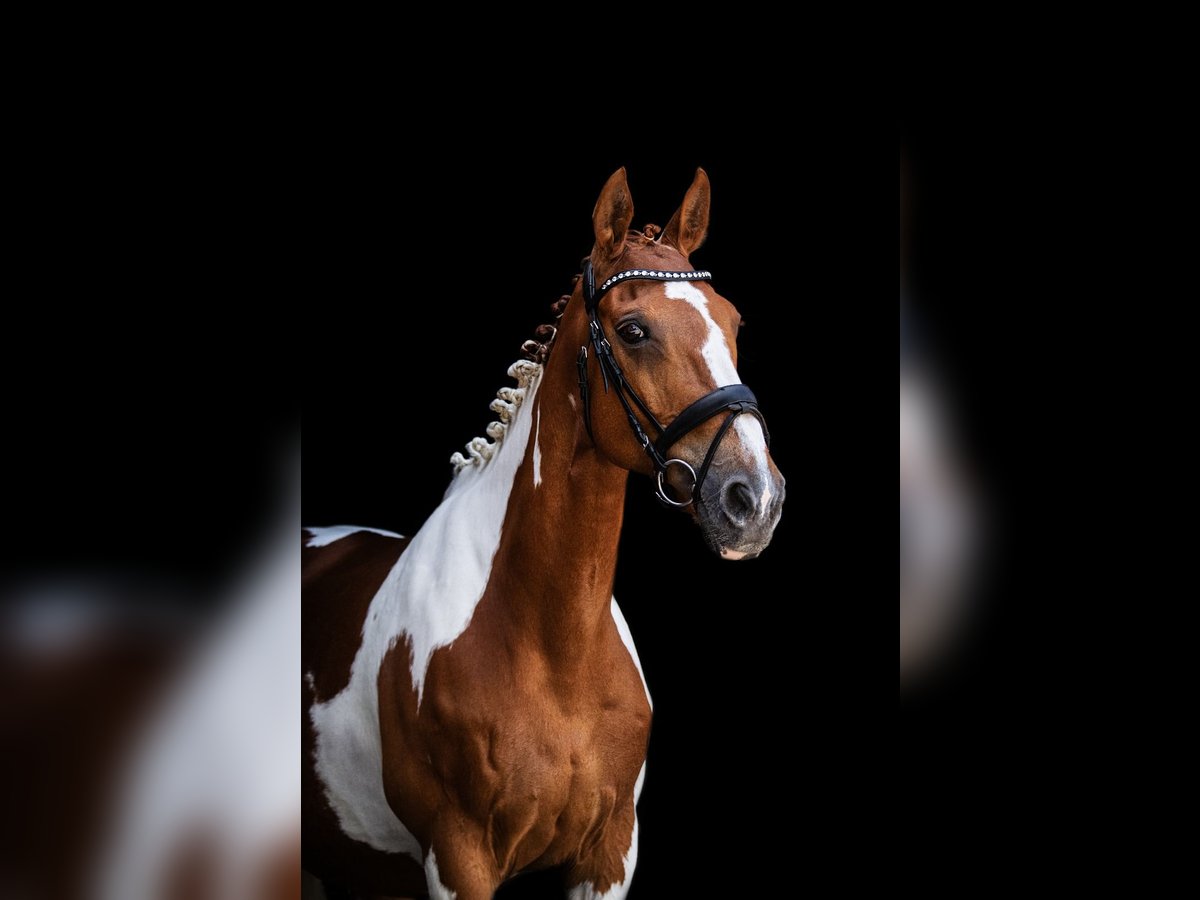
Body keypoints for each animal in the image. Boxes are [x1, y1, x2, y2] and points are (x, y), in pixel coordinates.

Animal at [303, 167, 786, 899]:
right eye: (634, 330)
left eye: (733, 322)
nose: (754, 498)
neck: (552, 648)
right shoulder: (459, 860)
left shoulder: (610, 855)